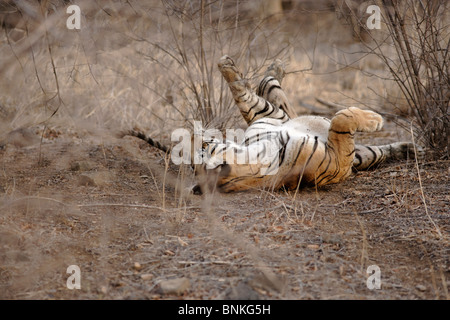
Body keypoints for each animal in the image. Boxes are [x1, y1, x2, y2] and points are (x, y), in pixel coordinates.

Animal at [124, 55, 422, 194]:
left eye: (205, 143)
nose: (195, 135)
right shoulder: (338, 161)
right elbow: (339, 120)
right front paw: (374, 119)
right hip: (352, 152)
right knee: (267, 95)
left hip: (266, 116)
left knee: (259, 90)